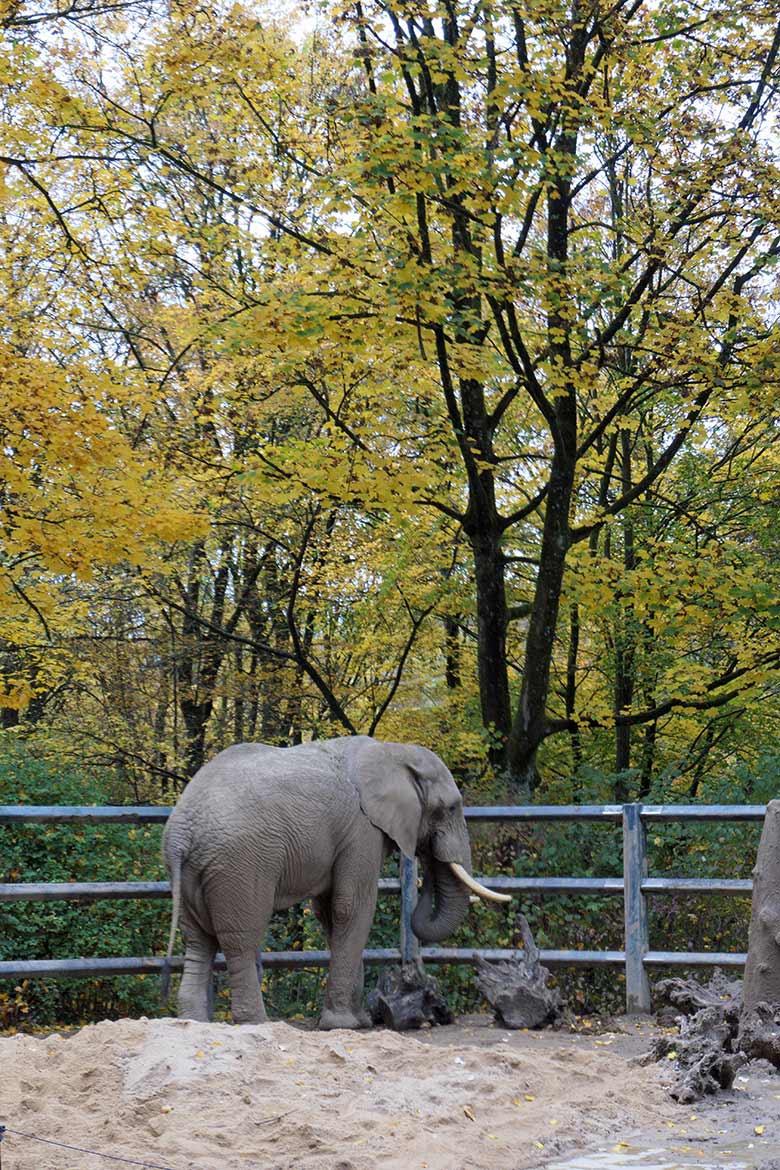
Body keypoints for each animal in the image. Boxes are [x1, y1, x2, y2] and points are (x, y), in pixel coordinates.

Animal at [161, 734, 509, 1029]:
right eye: (450, 808)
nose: (425, 856)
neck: (393, 752)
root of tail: (180, 834)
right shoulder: (362, 829)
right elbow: (352, 908)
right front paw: (346, 1025)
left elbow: (330, 914)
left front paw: (359, 1021)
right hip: (240, 864)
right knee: (240, 941)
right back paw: (258, 1023)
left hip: (193, 871)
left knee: (198, 942)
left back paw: (193, 1022)